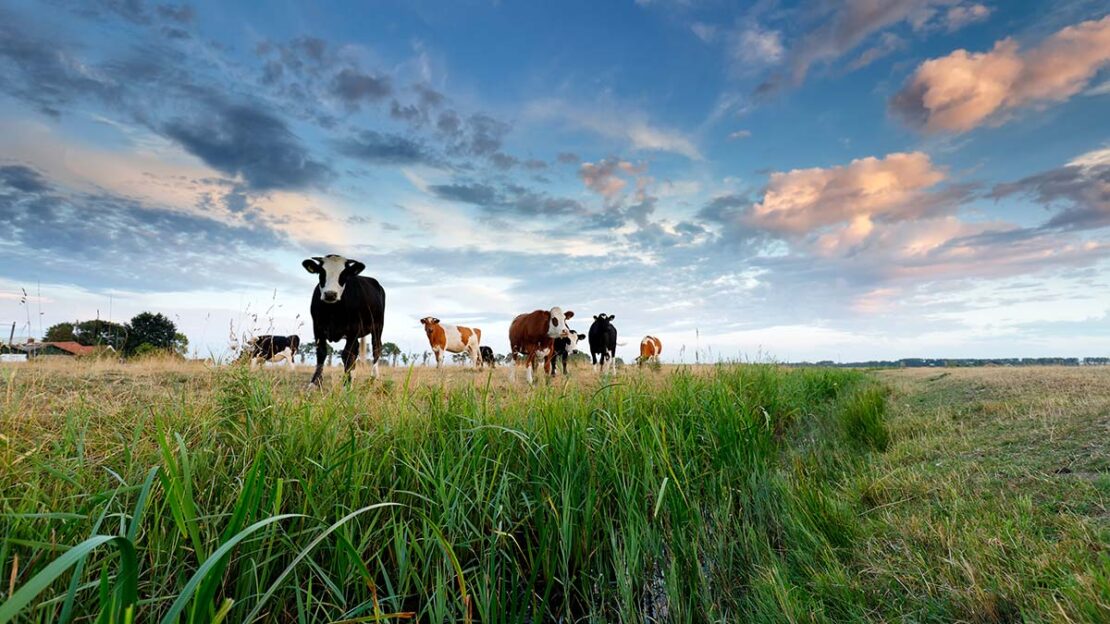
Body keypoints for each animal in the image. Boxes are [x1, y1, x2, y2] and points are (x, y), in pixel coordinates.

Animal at [304, 253, 386, 384]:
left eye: (344, 275)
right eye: (321, 272)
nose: (330, 294)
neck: (333, 311)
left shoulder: (354, 328)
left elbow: (347, 355)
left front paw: (347, 384)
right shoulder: (317, 326)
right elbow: (321, 352)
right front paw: (314, 383)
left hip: (378, 326)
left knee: (376, 348)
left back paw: (374, 377)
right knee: (357, 350)